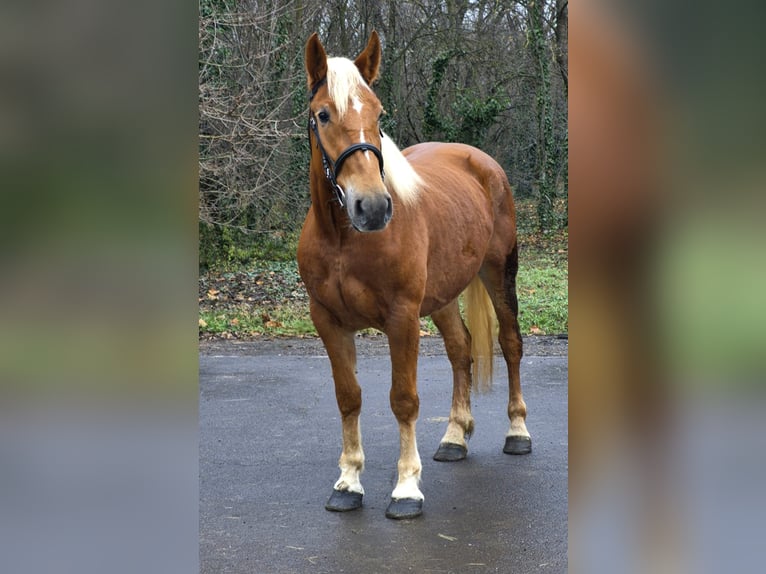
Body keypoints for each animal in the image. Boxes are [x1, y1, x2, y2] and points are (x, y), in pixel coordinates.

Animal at [297, 31, 530, 520]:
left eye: (378, 112)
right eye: (323, 114)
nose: (372, 206)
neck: (344, 240)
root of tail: (481, 161)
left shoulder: (401, 318)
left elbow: (403, 400)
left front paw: (406, 488)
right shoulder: (327, 321)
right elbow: (349, 397)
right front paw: (348, 482)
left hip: (499, 272)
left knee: (510, 343)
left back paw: (518, 432)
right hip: (442, 296)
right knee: (461, 349)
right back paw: (455, 437)